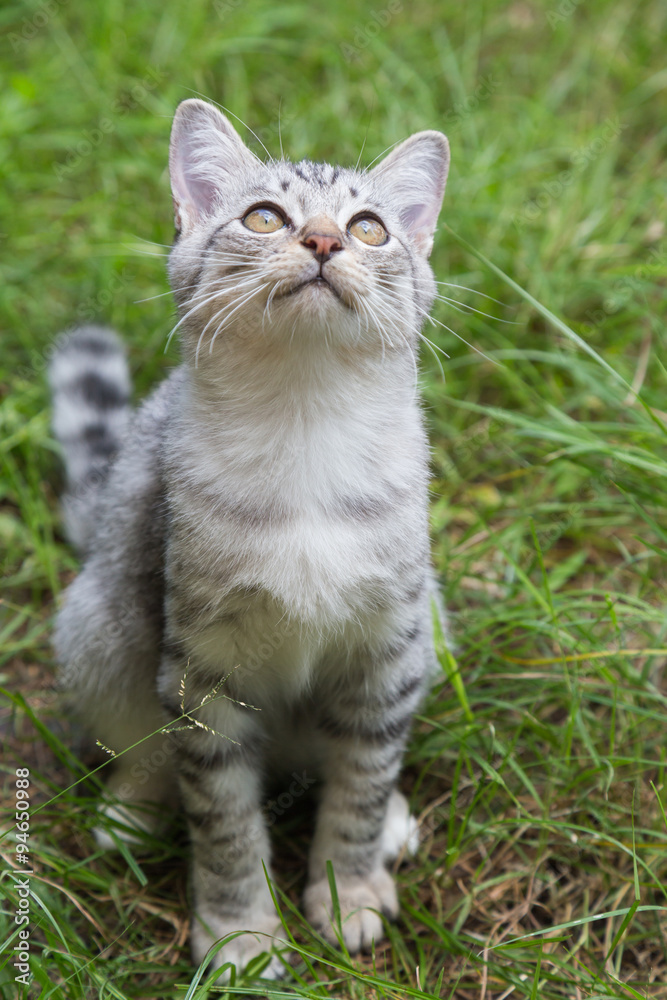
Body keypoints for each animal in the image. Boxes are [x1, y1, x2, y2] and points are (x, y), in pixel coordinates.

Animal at [49, 99, 452, 976]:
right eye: (265, 217)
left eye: (369, 228)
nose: (325, 241)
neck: (305, 432)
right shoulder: (202, 676)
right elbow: (224, 821)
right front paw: (239, 934)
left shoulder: (389, 647)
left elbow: (361, 782)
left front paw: (348, 888)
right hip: (98, 626)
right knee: (140, 748)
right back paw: (132, 811)